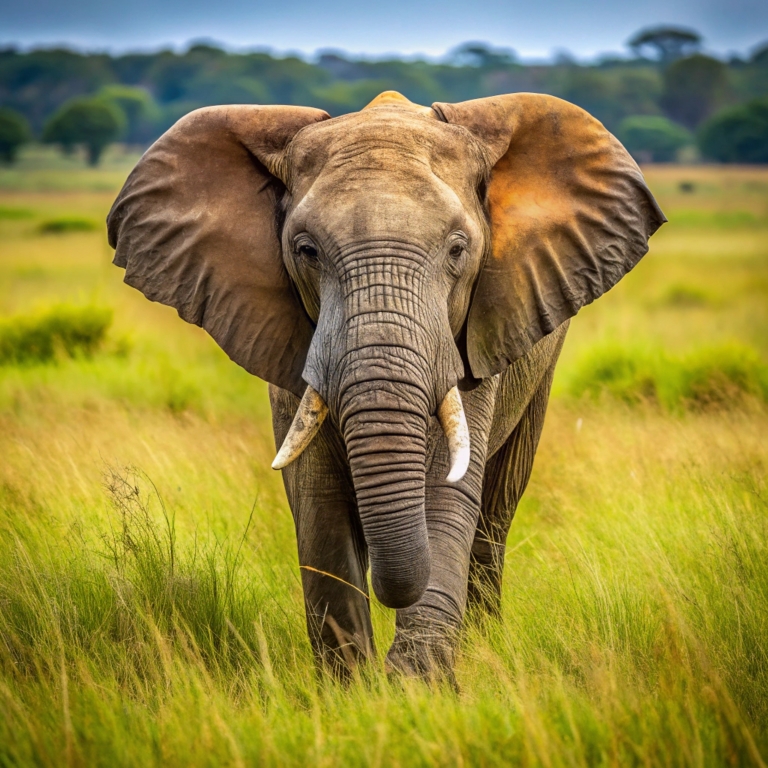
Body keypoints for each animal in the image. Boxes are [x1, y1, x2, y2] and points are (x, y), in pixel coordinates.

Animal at [107, 90, 665, 679]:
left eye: (458, 249)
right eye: (305, 250)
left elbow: (448, 484)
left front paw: (418, 684)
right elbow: (319, 498)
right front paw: (350, 687)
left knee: (497, 508)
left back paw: (485, 642)